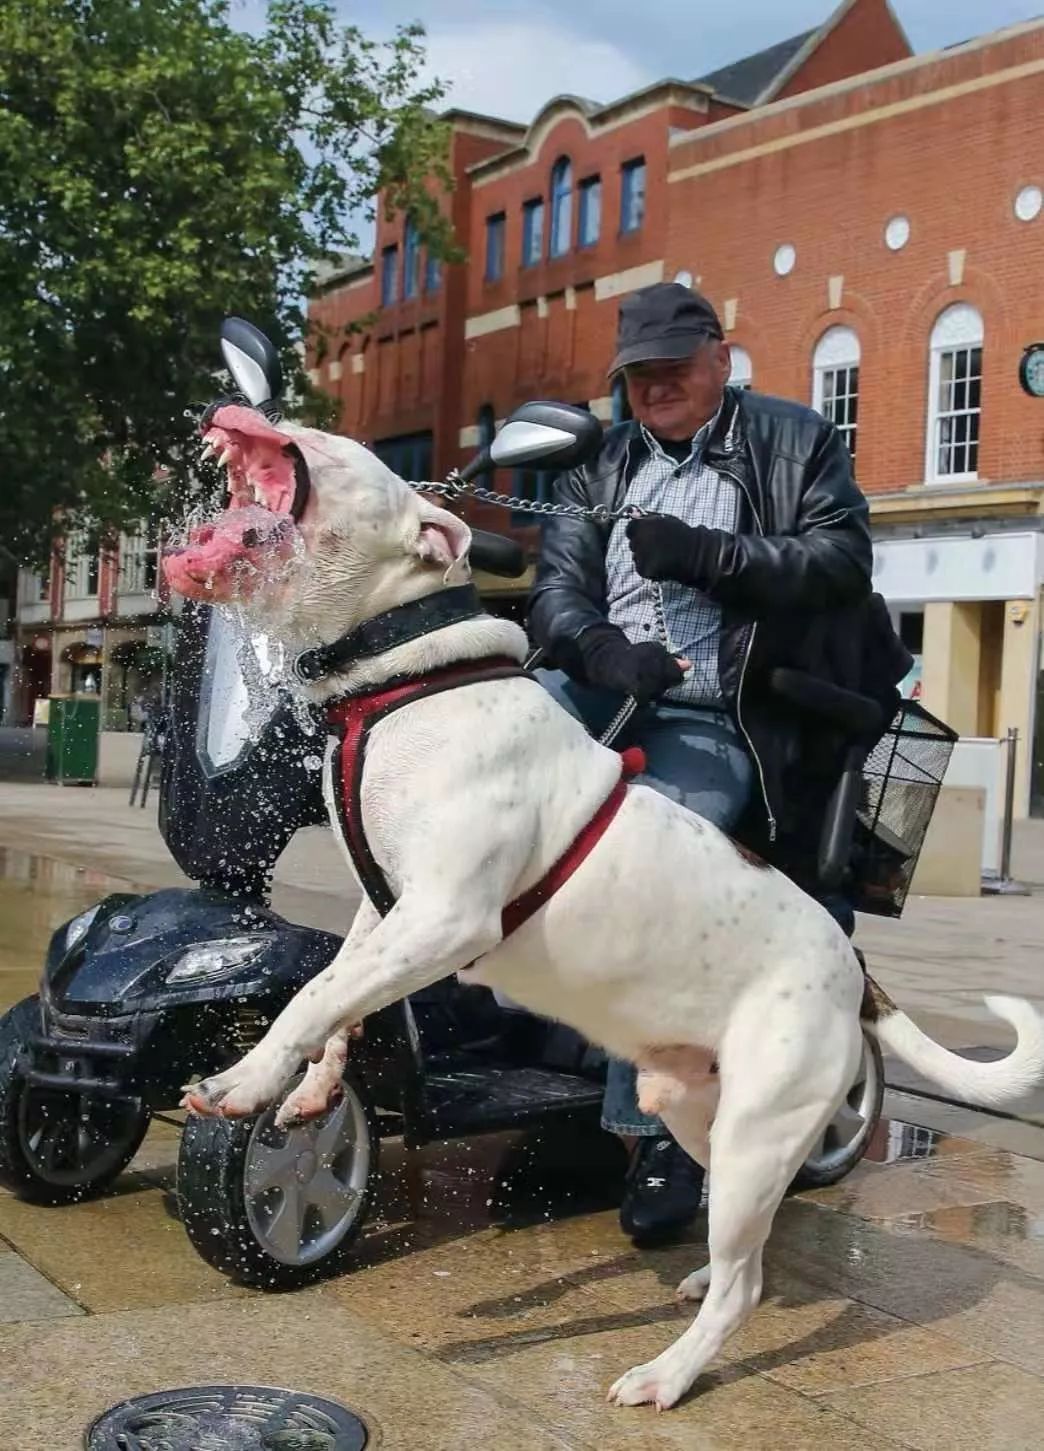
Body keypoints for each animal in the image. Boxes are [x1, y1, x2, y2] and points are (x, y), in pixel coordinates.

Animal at [167, 406, 1044, 1404]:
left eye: (319, 442)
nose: (238, 410)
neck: (404, 677)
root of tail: (853, 970)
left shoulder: (445, 917)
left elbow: (312, 995)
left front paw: (243, 1082)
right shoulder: (383, 909)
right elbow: (336, 994)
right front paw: (309, 1087)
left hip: (759, 1126)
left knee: (743, 1283)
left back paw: (668, 1371)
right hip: (700, 1111)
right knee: (745, 1251)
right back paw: (697, 1280)